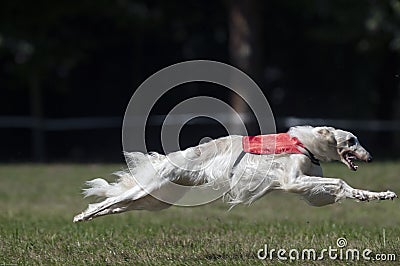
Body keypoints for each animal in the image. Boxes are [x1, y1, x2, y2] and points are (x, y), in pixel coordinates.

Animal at [73, 125, 396, 221]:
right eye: (352, 140)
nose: (371, 156)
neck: (305, 143)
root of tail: (169, 158)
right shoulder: (293, 180)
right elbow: (339, 180)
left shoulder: (308, 183)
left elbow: (345, 187)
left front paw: (379, 195)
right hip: (149, 188)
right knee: (108, 201)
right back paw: (82, 215)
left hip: (156, 197)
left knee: (116, 205)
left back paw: (89, 215)